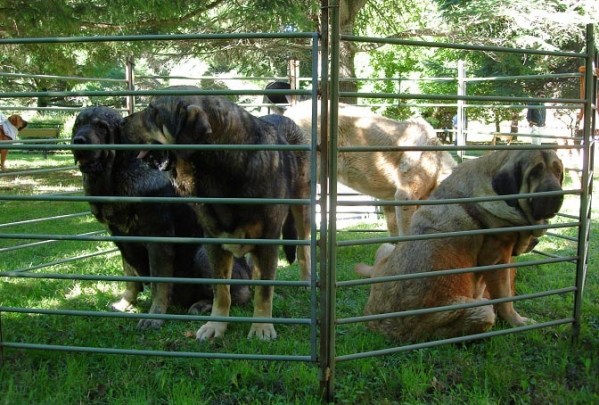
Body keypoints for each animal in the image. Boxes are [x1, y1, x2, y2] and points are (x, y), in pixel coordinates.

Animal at [71, 106, 252, 328]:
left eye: (101, 127)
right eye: (78, 125)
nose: (78, 141)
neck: (114, 177)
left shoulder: (158, 243)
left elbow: (160, 284)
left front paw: (154, 317)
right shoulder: (122, 241)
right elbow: (130, 278)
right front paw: (125, 303)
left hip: (204, 254)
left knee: (231, 295)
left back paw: (204, 305)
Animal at [121, 87, 310, 340]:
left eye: (153, 110)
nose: (122, 122)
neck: (220, 167)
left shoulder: (268, 239)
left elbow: (264, 292)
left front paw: (261, 327)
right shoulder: (214, 241)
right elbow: (221, 290)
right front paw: (216, 325)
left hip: (302, 209)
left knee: (303, 250)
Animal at [354, 148, 564, 340]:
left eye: (558, 171)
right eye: (534, 172)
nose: (556, 195)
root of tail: (381, 327)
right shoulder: (498, 260)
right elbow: (505, 297)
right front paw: (517, 321)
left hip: (387, 248)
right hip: (480, 312)